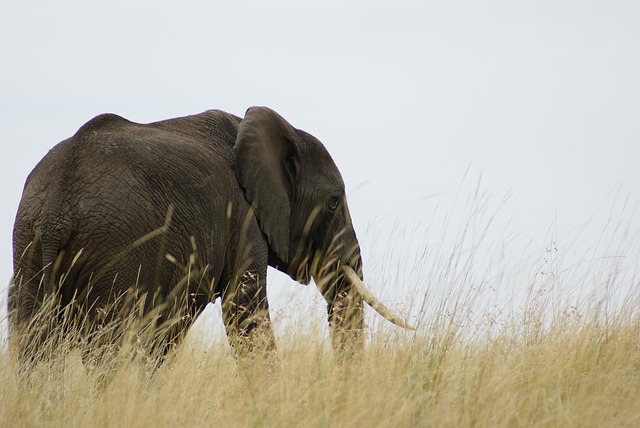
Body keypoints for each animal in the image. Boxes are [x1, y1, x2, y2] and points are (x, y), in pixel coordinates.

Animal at [9, 106, 412, 360]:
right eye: (333, 202)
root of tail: (56, 210)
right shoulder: (243, 214)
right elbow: (244, 310)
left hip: (28, 251)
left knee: (31, 347)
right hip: (116, 253)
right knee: (107, 345)